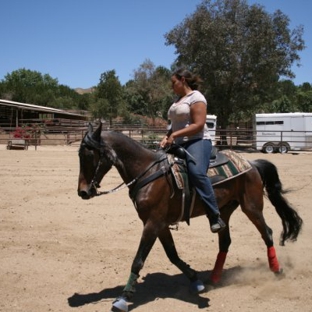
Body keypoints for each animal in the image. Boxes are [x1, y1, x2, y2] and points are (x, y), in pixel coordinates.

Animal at [77, 123, 302, 312]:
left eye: (89, 156)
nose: (83, 192)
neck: (147, 171)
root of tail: (252, 163)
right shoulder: (160, 224)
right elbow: (172, 255)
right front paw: (195, 280)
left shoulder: (153, 223)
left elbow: (138, 260)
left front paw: (123, 298)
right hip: (225, 211)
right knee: (225, 241)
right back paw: (213, 278)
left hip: (252, 207)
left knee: (267, 233)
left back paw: (276, 270)